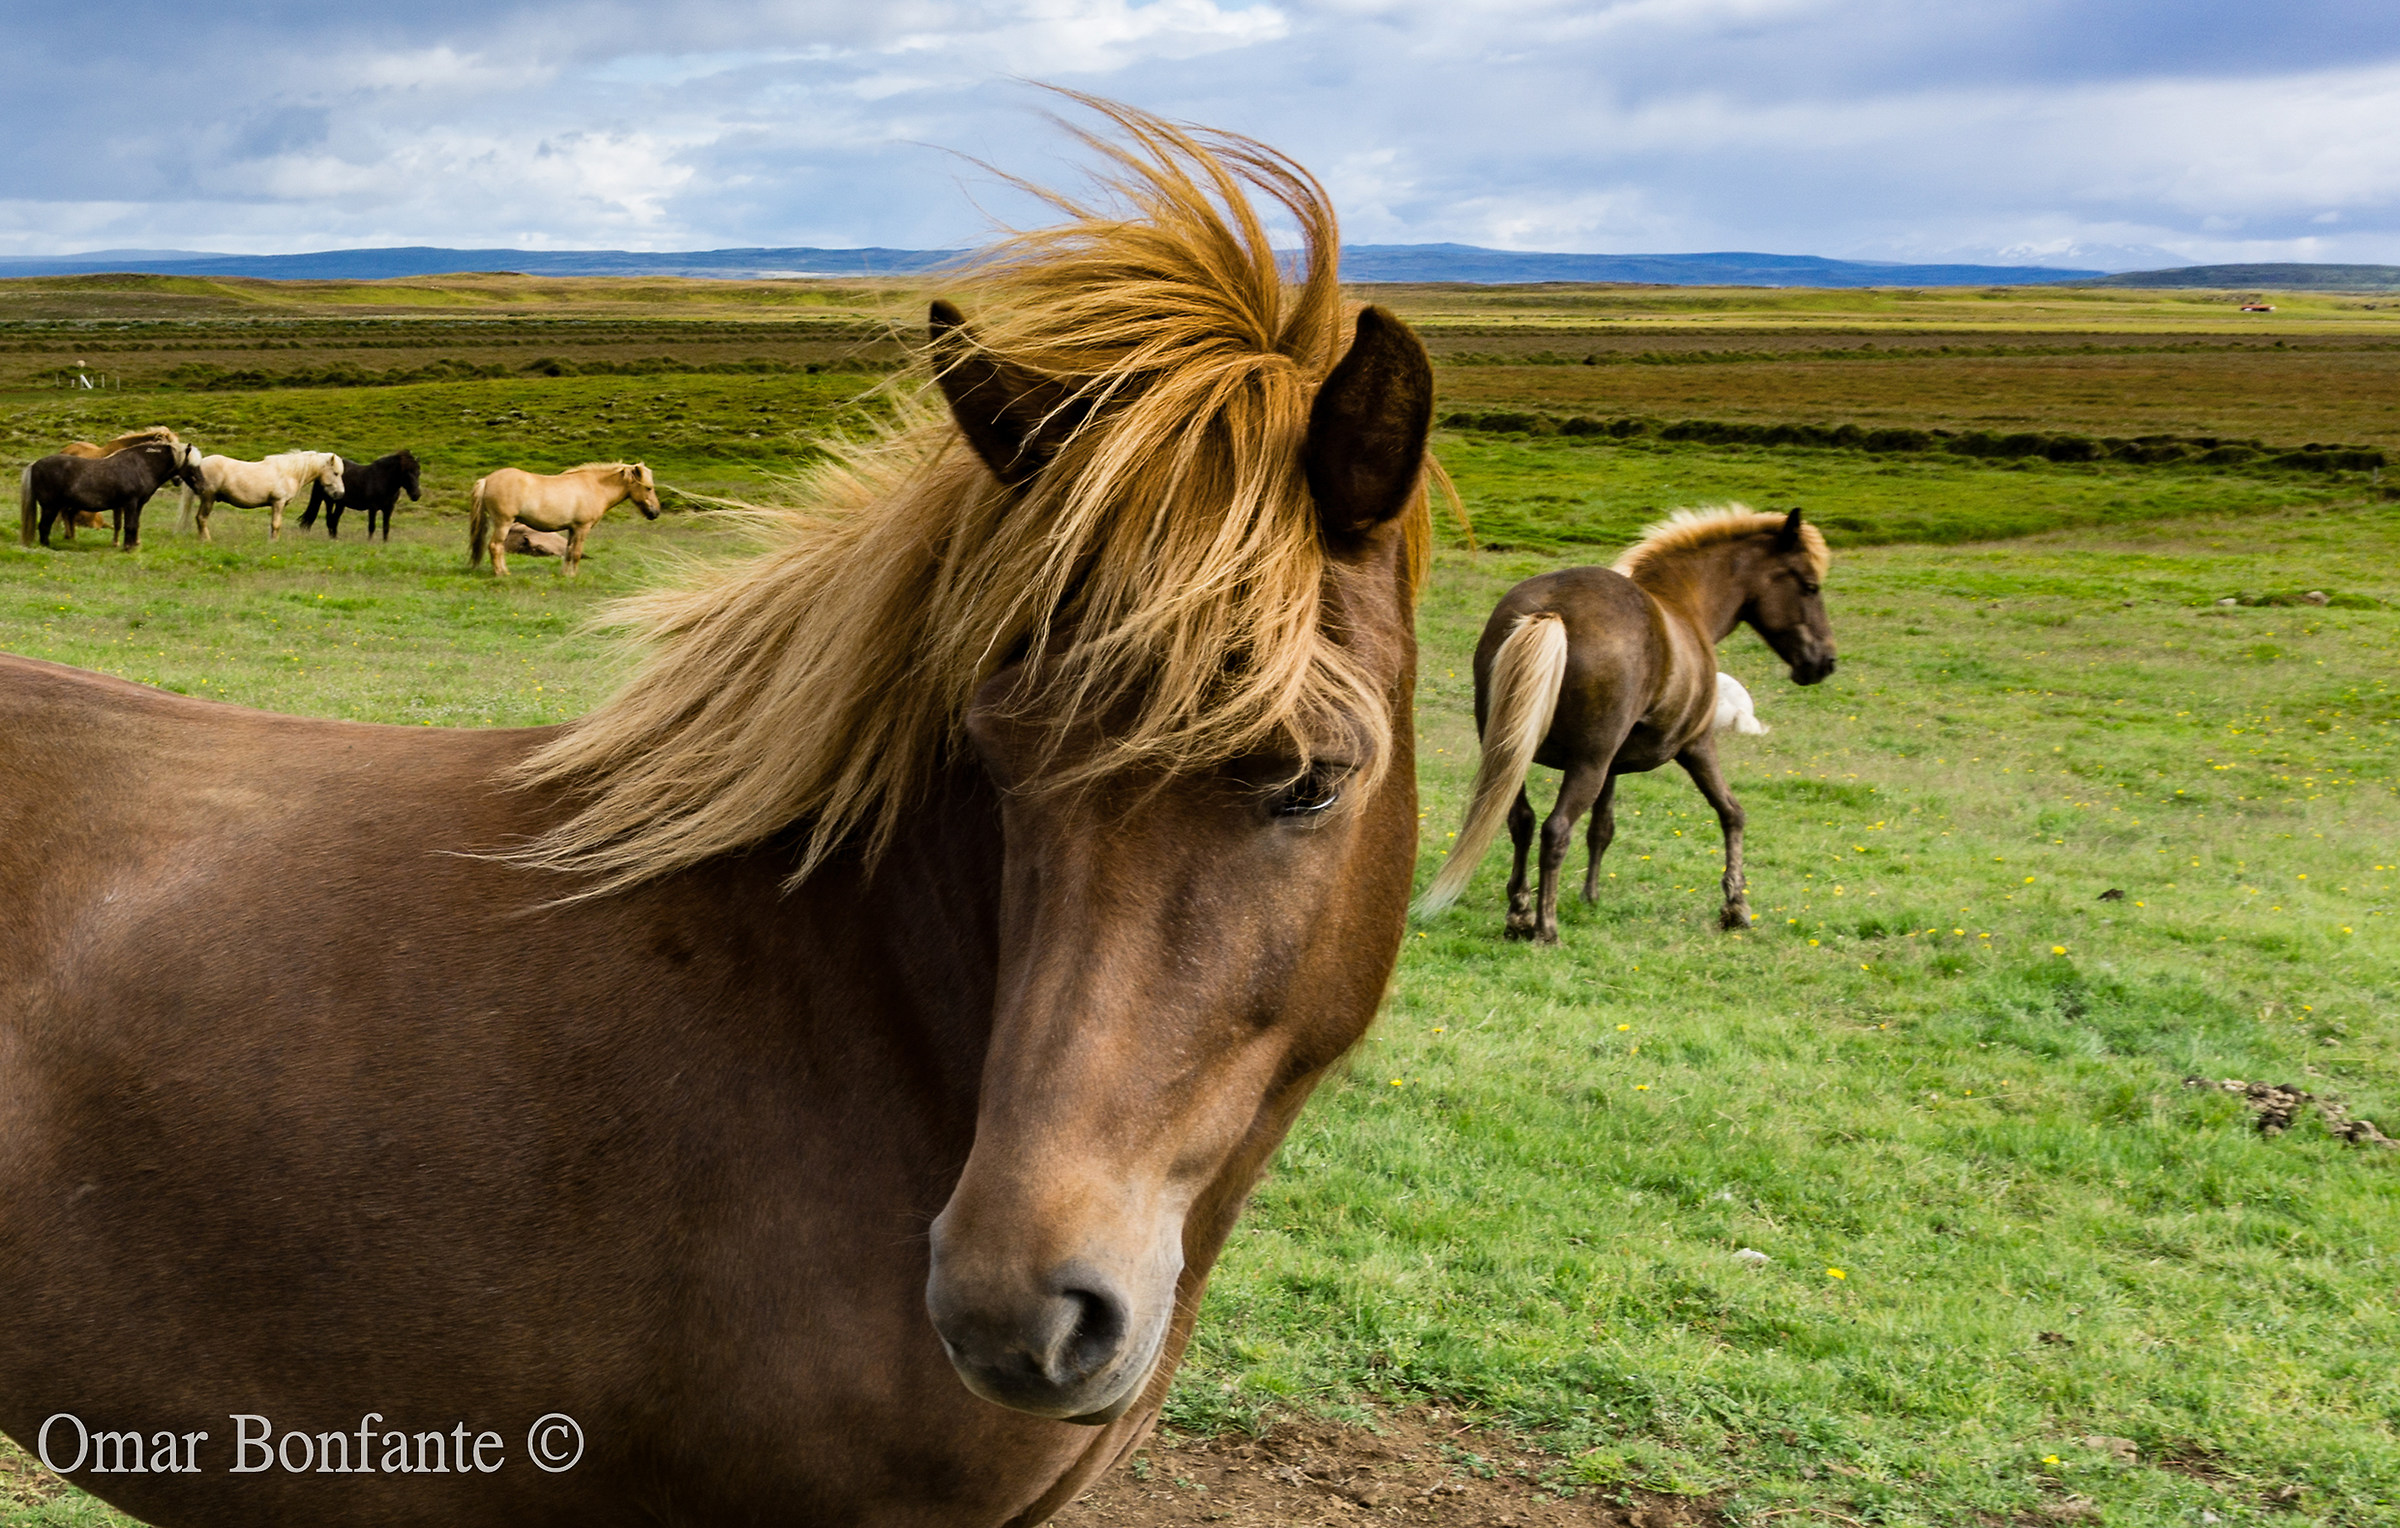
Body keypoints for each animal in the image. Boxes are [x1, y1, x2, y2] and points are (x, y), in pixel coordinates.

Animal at [18, 440, 206, 550]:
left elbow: (135, 525)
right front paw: (127, 548)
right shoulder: (130, 503)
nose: (202, 486)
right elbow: (129, 525)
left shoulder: (138, 505)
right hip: (50, 507)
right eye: (192, 465)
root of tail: (35, 464)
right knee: (44, 526)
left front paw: (132, 546)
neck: (140, 466)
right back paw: (47, 546)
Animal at [177, 451, 346, 541]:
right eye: (335, 473)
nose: (340, 494)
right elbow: (276, 524)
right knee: (201, 518)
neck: (289, 473)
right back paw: (207, 540)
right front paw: (274, 543)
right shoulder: (278, 502)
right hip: (208, 498)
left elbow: (273, 525)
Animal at [468, 462, 659, 576]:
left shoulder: (572, 529)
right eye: (649, 488)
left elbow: (568, 552)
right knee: (495, 546)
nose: (655, 512)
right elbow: (576, 553)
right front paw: (573, 576)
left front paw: (564, 574)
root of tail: (487, 480)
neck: (595, 486)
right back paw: (501, 573)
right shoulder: (582, 528)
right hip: (503, 523)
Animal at [1417, 506, 1835, 941]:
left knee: (1523, 821)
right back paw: (1546, 929)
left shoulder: (1613, 766)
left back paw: (1520, 914)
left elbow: (1602, 827)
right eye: (1810, 586)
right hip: (1587, 764)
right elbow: (1732, 813)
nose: (1825, 662)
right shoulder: (1696, 746)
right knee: (1555, 829)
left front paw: (1590, 896)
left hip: (1514, 753)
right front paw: (1735, 906)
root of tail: (1552, 610)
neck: (1685, 606)